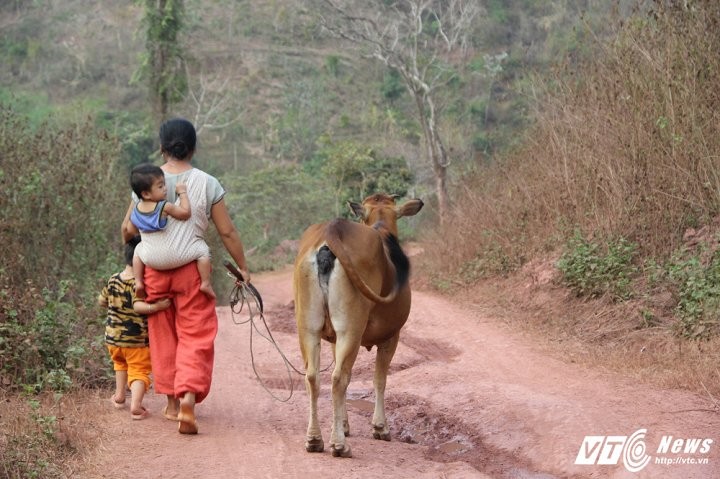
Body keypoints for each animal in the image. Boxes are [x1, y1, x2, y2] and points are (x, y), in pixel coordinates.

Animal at [292, 194, 422, 458]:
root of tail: (331, 230)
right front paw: (380, 427)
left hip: (308, 328)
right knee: (338, 378)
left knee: (313, 377)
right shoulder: (392, 336)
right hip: (350, 329)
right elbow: (379, 380)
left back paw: (315, 439)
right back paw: (339, 445)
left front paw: (343, 424)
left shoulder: (333, 339)